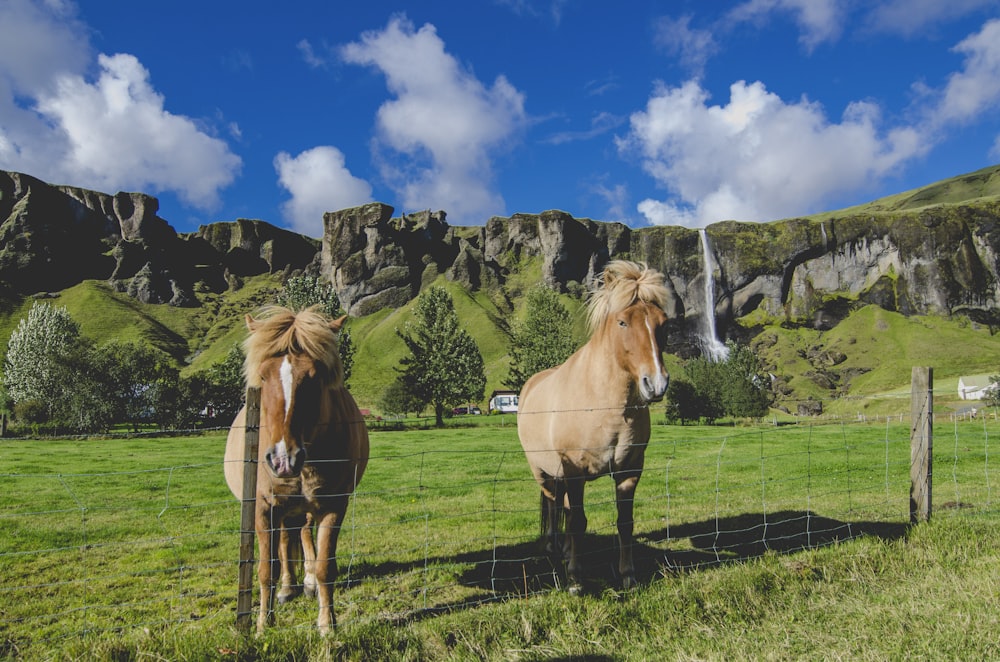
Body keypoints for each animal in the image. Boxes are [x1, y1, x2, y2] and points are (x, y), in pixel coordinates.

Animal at [225, 304, 370, 636]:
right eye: (262, 376)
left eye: (315, 378)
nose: (283, 459)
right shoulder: (263, 508)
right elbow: (266, 569)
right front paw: (263, 625)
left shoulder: (333, 505)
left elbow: (325, 566)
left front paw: (327, 625)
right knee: (285, 541)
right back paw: (287, 588)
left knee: (302, 535)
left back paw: (305, 583)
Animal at [516, 260, 672, 596]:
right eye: (622, 322)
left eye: (663, 323)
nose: (656, 384)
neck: (604, 406)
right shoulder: (574, 472)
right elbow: (577, 522)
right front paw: (576, 580)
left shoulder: (629, 472)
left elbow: (624, 523)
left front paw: (628, 575)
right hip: (543, 473)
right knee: (553, 505)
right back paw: (553, 548)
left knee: (561, 506)